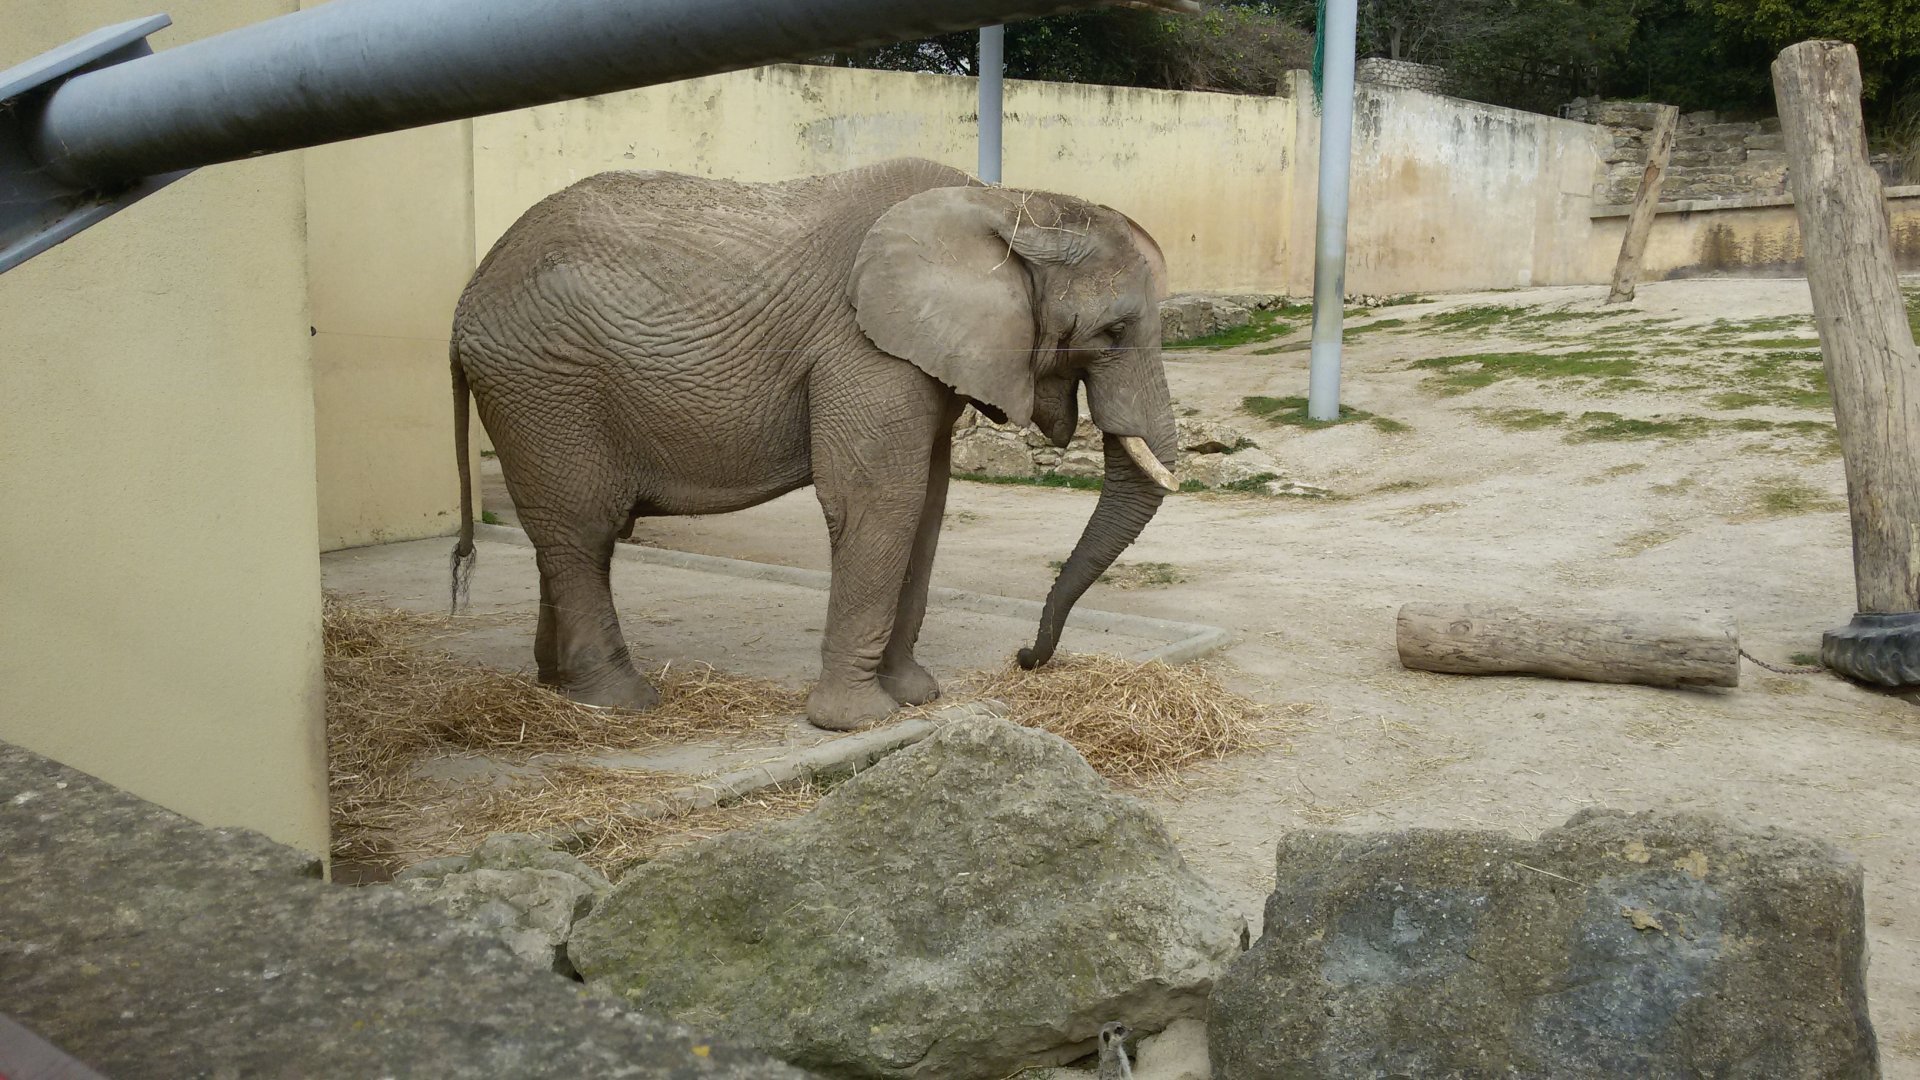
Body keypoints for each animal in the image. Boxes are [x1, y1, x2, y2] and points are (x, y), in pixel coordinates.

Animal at [449, 157, 1179, 731]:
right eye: (1113, 332)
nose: (1027, 658)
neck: (1007, 201)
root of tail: (464, 302)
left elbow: (927, 503)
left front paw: (917, 697)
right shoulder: (861, 348)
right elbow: (878, 499)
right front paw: (858, 721)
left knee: (561, 537)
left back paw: (556, 687)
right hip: (546, 387)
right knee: (583, 532)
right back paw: (623, 704)